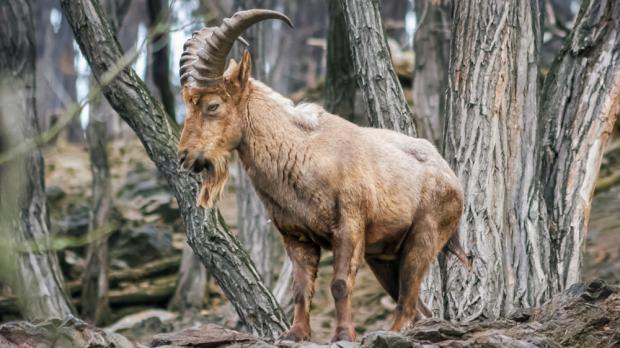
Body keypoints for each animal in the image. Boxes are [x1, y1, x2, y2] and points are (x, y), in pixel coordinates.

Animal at [177, 8, 468, 342]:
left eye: (213, 105)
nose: (184, 156)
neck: (303, 153)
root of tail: (452, 177)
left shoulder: (349, 227)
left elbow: (340, 283)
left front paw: (343, 335)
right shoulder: (296, 237)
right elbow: (301, 288)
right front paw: (294, 334)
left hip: (423, 237)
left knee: (408, 300)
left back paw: (391, 332)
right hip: (382, 257)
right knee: (418, 306)